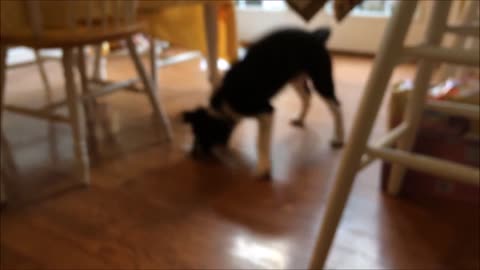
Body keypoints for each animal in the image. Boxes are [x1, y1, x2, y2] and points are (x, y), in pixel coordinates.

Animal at [182, 28, 344, 179]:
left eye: (203, 135)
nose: (193, 154)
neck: (224, 104)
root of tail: (314, 35)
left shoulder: (267, 111)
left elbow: (260, 142)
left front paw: (263, 168)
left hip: (321, 80)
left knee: (336, 106)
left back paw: (339, 138)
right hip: (296, 78)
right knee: (307, 97)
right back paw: (300, 119)